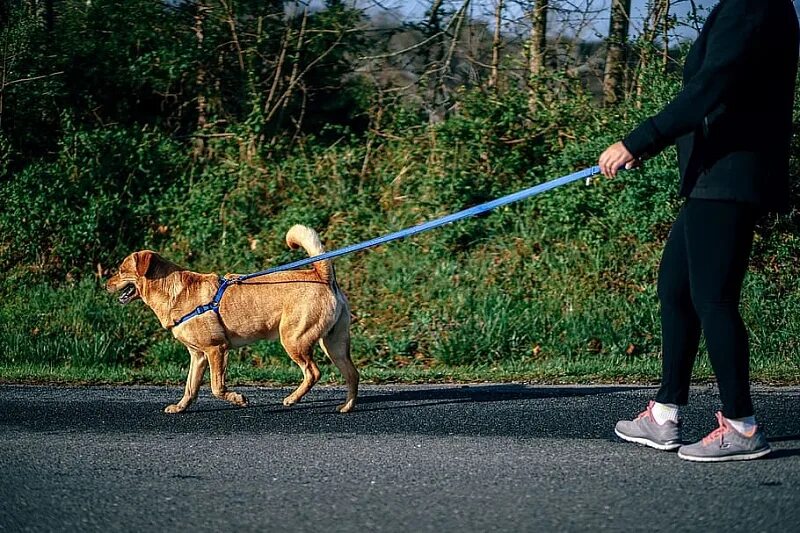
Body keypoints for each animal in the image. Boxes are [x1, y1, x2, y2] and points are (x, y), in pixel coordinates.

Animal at [108, 223, 358, 412]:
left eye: (120, 270)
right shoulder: (198, 356)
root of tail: (321, 275)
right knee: (352, 374)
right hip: (333, 344)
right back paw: (346, 407)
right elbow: (190, 387)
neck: (172, 292)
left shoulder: (216, 349)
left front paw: (238, 399)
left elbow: (216, 387)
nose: (105, 284)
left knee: (313, 372)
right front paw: (180, 407)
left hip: (293, 339)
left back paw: (292, 398)